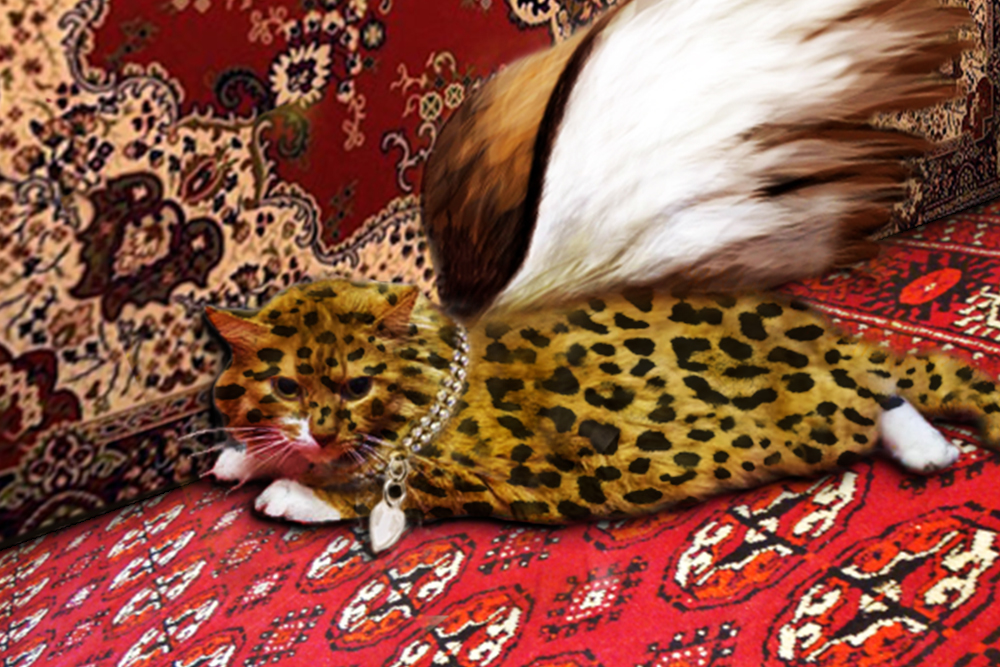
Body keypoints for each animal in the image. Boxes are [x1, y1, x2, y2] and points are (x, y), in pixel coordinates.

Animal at [206, 278, 1000, 552]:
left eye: (357, 385)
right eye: (285, 384)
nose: (321, 427)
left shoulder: (439, 470)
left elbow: (362, 482)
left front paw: (287, 486)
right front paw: (249, 453)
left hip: (798, 415)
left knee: (870, 392)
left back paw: (924, 448)